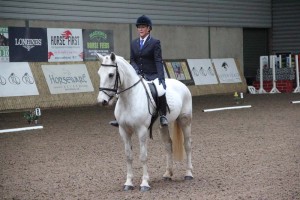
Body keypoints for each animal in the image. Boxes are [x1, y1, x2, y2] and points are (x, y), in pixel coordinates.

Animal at [97, 52, 193, 191]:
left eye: (111, 74)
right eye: (99, 73)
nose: (102, 101)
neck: (129, 99)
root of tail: (181, 84)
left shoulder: (142, 131)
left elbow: (143, 156)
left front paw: (144, 183)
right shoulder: (124, 131)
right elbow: (128, 156)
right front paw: (128, 183)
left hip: (185, 120)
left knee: (187, 145)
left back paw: (189, 173)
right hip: (163, 126)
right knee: (168, 145)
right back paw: (167, 174)